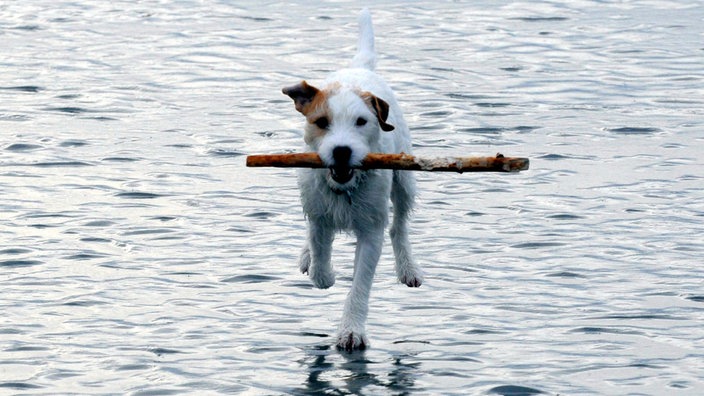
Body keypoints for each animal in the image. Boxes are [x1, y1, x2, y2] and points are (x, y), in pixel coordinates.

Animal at [282, 8, 424, 350]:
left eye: (361, 121)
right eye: (321, 122)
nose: (342, 151)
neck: (343, 188)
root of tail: (359, 68)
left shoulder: (371, 232)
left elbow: (360, 284)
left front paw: (351, 331)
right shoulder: (318, 213)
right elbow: (320, 250)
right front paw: (322, 273)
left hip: (405, 182)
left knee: (399, 227)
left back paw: (408, 268)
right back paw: (306, 257)